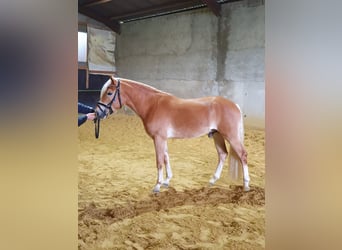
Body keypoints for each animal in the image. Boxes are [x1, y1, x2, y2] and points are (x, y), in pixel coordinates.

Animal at [96, 76, 251, 193]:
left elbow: (159, 161)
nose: (98, 113)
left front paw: (157, 186)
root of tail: (234, 105)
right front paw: (166, 181)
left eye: (109, 93)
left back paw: (246, 185)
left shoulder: (158, 138)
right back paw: (212, 180)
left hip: (231, 136)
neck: (152, 105)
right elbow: (166, 158)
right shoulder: (162, 139)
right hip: (217, 135)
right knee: (223, 154)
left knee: (242, 155)